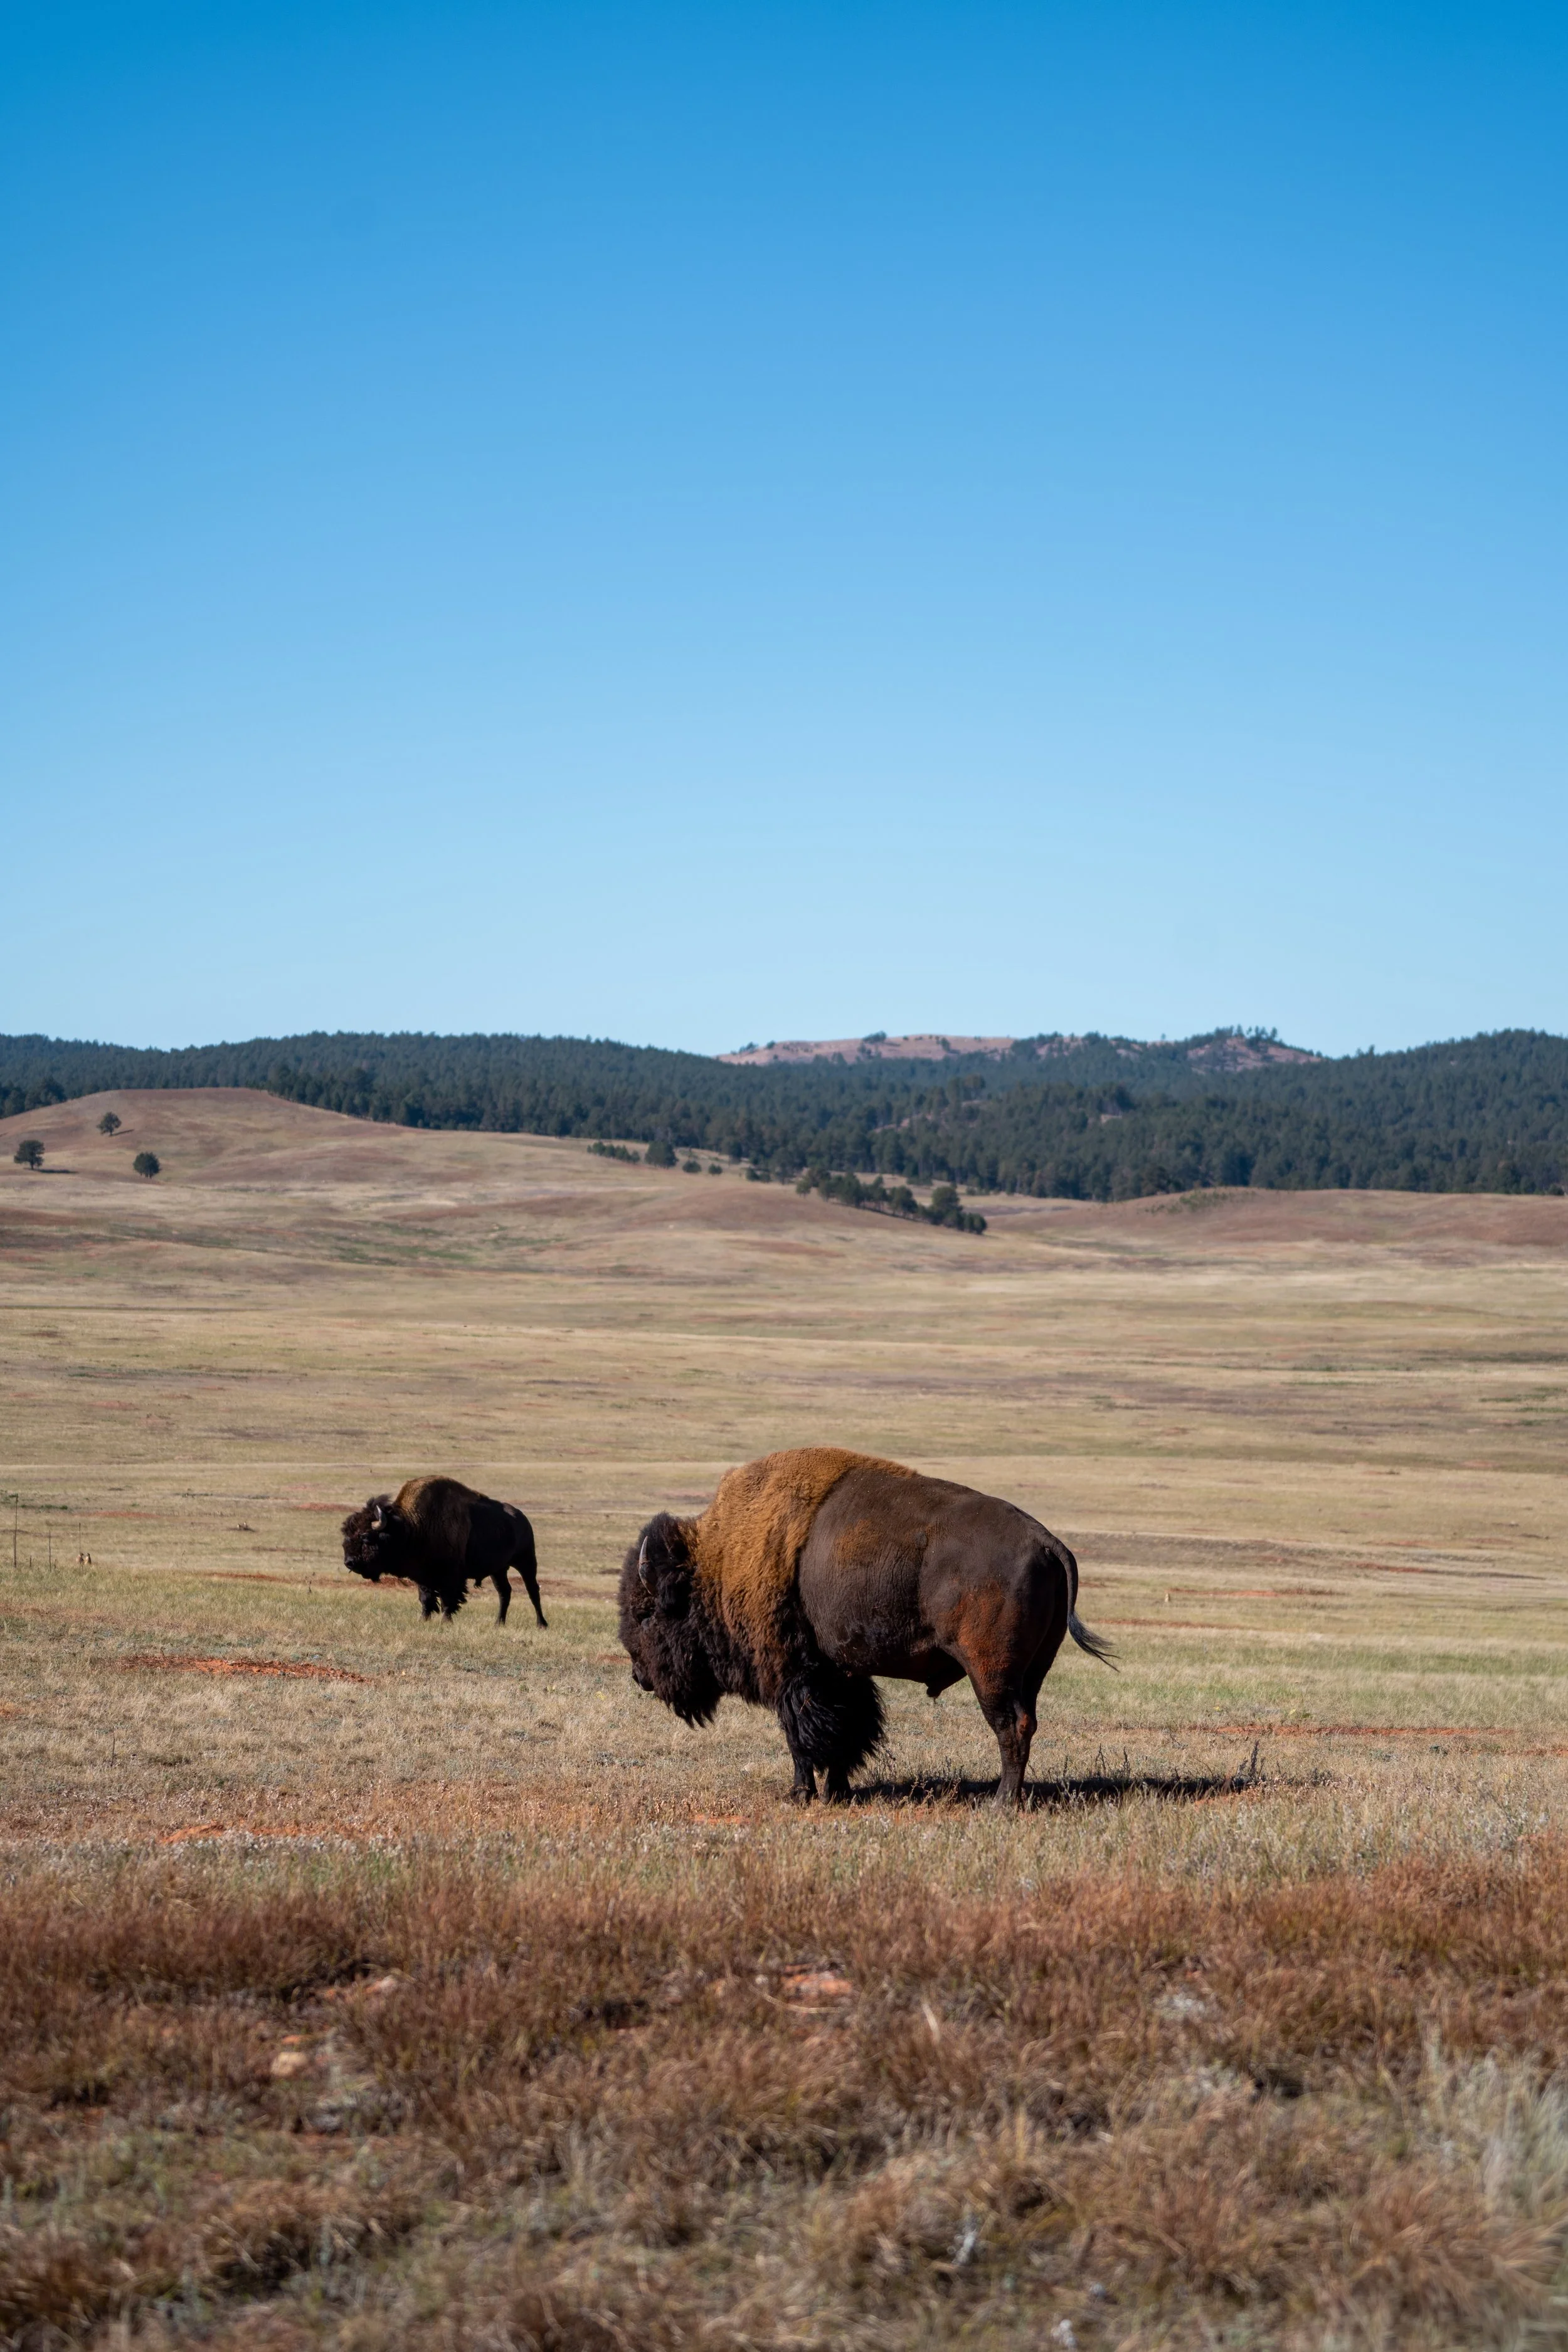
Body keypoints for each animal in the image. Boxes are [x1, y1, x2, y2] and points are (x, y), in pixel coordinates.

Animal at [341, 1476, 546, 1627]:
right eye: (347, 1534)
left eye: (366, 1537)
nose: (349, 1562)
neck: (411, 1527)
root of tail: (522, 1519)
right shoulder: (423, 1576)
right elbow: (426, 1598)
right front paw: (423, 1620)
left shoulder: (451, 1576)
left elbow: (448, 1599)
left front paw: (445, 1621)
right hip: (498, 1570)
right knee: (504, 1592)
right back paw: (498, 1624)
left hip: (526, 1561)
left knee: (533, 1591)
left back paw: (541, 1624)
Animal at [618, 1446, 1111, 1806]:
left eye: (646, 1613)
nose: (639, 1676)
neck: (718, 1562)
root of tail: (1046, 1543)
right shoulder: (842, 1673)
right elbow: (847, 1730)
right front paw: (837, 1791)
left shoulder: (794, 1674)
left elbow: (803, 1736)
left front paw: (800, 1794)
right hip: (1032, 1671)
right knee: (1027, 1723)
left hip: (990, 1671)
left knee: (1011, 1726)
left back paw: (1001, 1803)